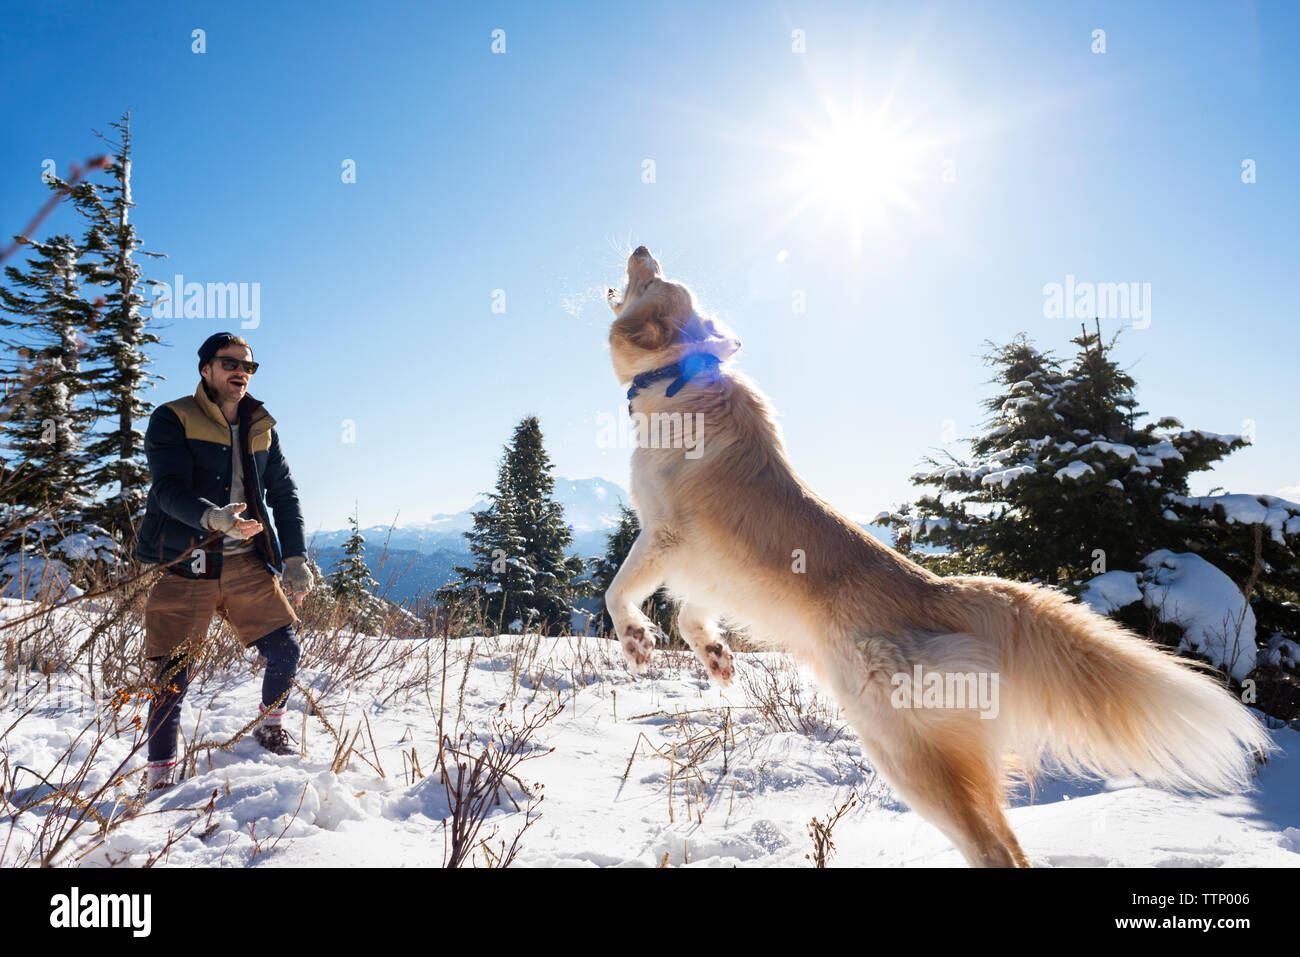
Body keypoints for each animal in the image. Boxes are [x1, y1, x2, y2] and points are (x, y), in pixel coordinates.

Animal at [603, 244, 1274, 868]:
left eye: (651, 280)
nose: (639, 248)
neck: (677, 377)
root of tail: (946, 589)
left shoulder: (664, 534)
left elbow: (618, 590)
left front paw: (635, 640)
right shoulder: (707, 566)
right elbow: (691, 613)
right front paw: (716, 658)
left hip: (904, 751)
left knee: (990, 848)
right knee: (1010, 845)